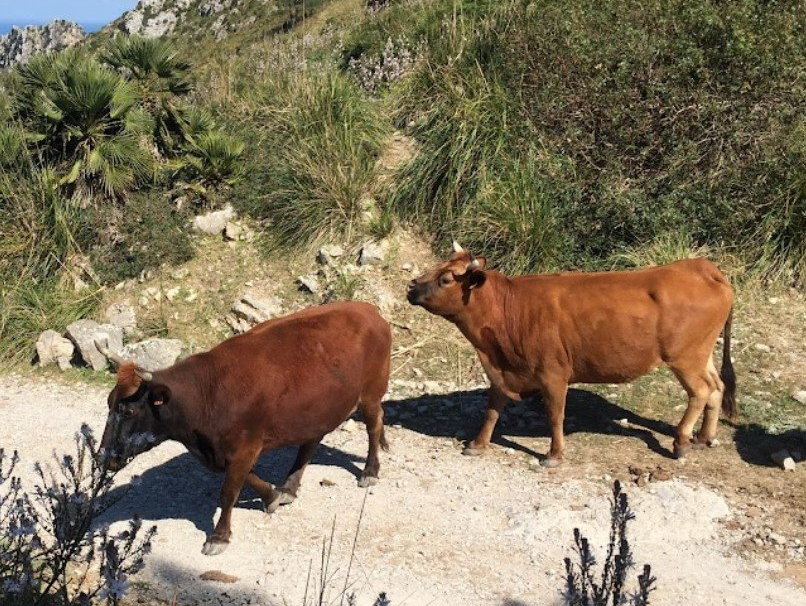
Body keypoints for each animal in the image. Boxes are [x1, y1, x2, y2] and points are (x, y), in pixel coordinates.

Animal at [97, 301, 391, 555]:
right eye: (108, 404)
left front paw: (219, 536)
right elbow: (245, 477)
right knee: (311, 440)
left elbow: (229, 491)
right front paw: (272, 496)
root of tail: (367, 309)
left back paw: (370, 471)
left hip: (371, 393)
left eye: (128, 410)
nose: (102, 458)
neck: (208, 393)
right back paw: (289, 487)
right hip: (318, 408)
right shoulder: (226, 451)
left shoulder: (245, 447)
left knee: (374, 425)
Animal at [406, 242, 736, 467]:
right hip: (702, 353)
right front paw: (477, 444)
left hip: (685, 357)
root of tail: (703, 268)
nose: (411, 286)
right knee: (717, 386)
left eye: (447, 278)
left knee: (701, 391)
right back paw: (704, 437)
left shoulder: (553, 373)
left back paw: (681, 441)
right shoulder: (504, 370)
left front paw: (554, 454)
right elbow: (492, 410)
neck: (509, 309)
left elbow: (556, 415)